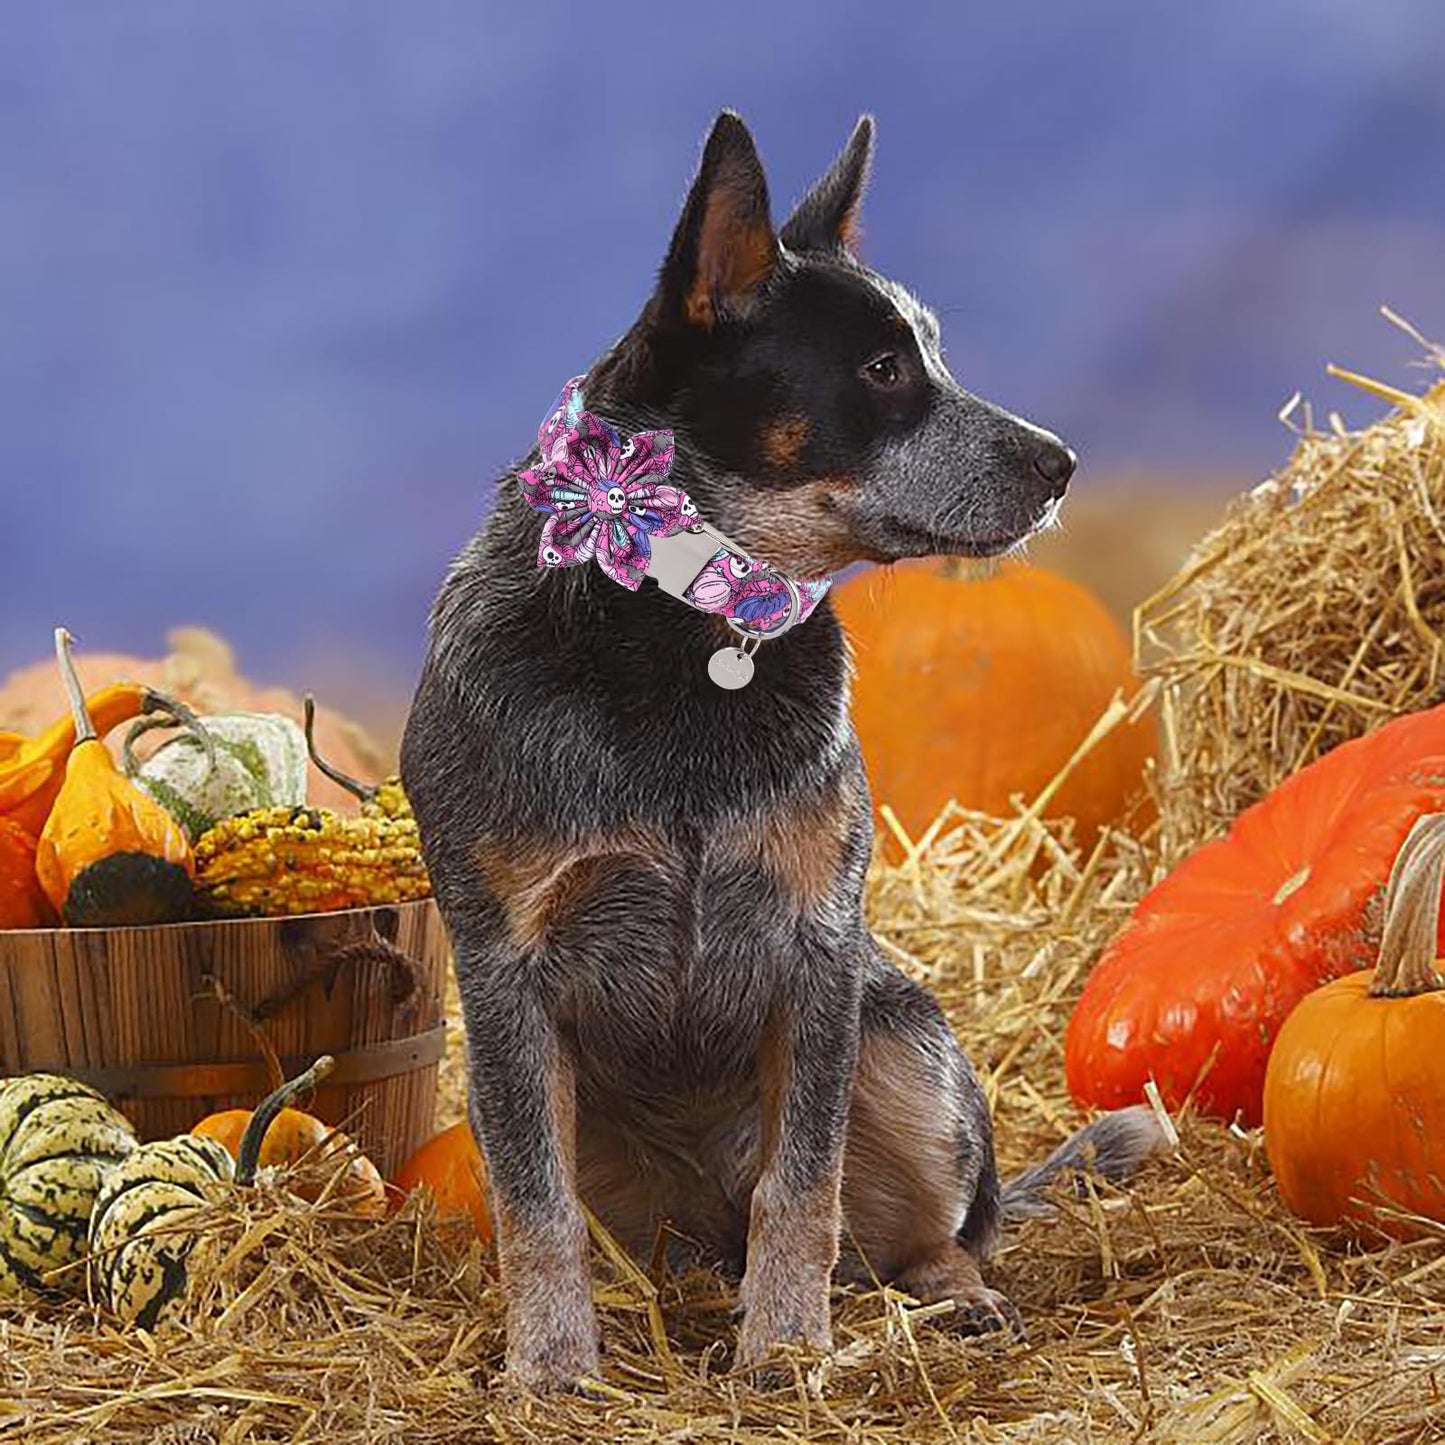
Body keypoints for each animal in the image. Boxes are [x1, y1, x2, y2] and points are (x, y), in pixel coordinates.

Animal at [401, 106, 1167, 1392]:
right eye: (881, 369)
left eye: (932, 351)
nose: (1062, 461)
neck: (692, 626)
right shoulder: (506, 965)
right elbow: (533, 1204)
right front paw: (551, 1366)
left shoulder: (816, 944)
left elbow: (801, 1184)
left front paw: (786, 1347)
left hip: (903, 1043)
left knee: (935, 1230)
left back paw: (951, 1295)